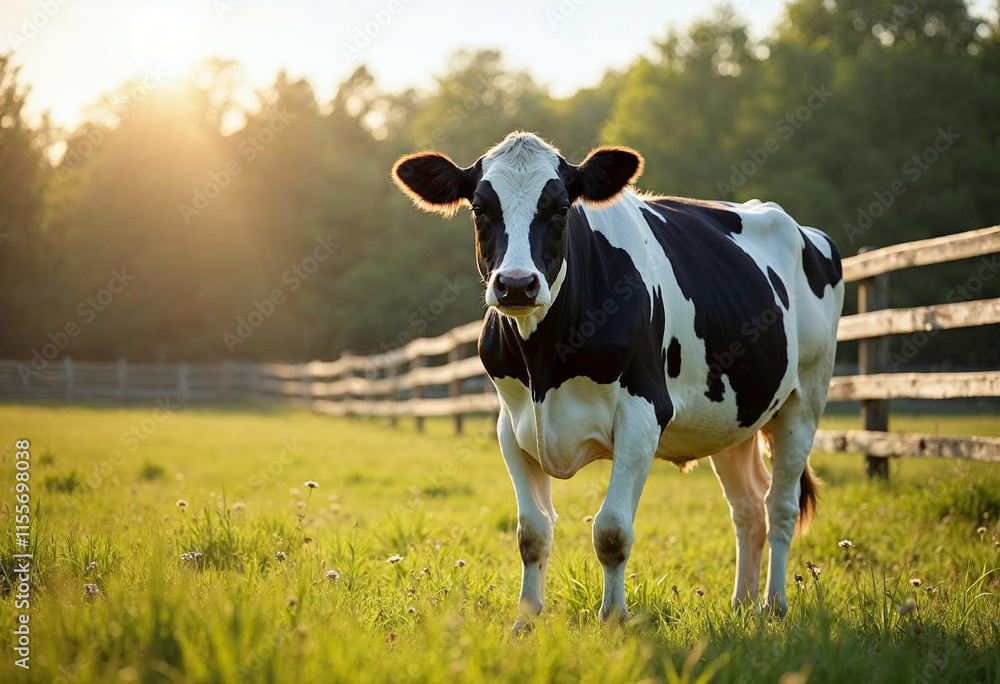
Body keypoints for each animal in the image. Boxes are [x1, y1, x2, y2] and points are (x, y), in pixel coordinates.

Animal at [390, 131, 844, 628]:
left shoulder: (643, 416)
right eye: (478, 209)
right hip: (732, 417)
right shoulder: (511, 425)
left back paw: (773, 603)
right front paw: (525, 621)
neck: (545, 364)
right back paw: (740, 605)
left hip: (805, 400)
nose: (517, 285)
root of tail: (801, 228)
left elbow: (611, 531)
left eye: (561, 208)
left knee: (779, 507)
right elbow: (532, 532)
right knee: (747, 509)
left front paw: (612, 620)